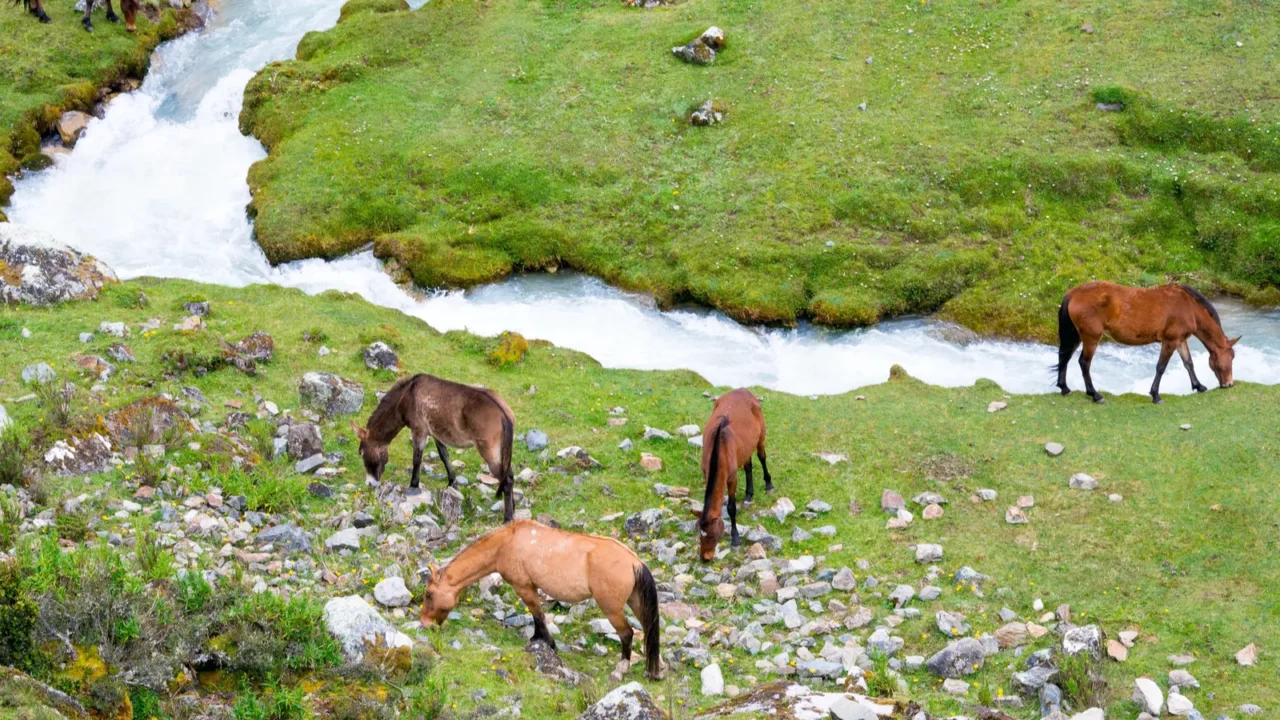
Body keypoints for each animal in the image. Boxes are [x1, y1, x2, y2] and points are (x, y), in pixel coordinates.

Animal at [352, 373, 516, 521]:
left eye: (361, 453)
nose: (370, 484)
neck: (406, 396)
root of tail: (503, 414)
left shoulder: (419, 431)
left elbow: (417, 459)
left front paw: (413, 485)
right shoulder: (436, 433)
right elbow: (444, 455)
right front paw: (451, 482)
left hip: (488, 451)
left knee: (507, 480)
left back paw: (507, 518)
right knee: (509, 475)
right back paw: (512, 507)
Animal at [419, 520, 663, 681]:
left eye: (429, 594)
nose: (424, 623)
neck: (506, 543)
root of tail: (635, 562)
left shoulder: (524, 586)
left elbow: (537, 613)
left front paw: (545, 643)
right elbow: (537, 614)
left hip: (612, 609)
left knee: (627, 633)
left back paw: (621, 670)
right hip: (635, 602)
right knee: (649, 629)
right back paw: (656, 668)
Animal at [689, 388, 772, 561]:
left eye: (712, 536)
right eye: (699, 534)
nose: (705, 558)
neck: (719, 448)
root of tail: (744, 390)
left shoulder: (732, 478)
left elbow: (731, 507)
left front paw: (735, 539)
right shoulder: (706, 473)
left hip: (761, 435)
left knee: (762, 456)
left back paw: (769, 484)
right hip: (745, 446)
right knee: (748, 465)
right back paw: (748, 495)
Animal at [1055, 281, 1240, 404]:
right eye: (1231, 357)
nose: (1229, 384)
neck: (1188, 307)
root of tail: (1073, 293)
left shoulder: (1180, 341)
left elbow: (1188, 363)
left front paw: (1199, 386)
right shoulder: (1170, 341)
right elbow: (1161, 367)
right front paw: (1155, 395)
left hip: (1077, 336)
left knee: (1064, 357)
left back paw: (1064, 388)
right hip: (1091, 338)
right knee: (1084, 363)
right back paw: (1095, 395)